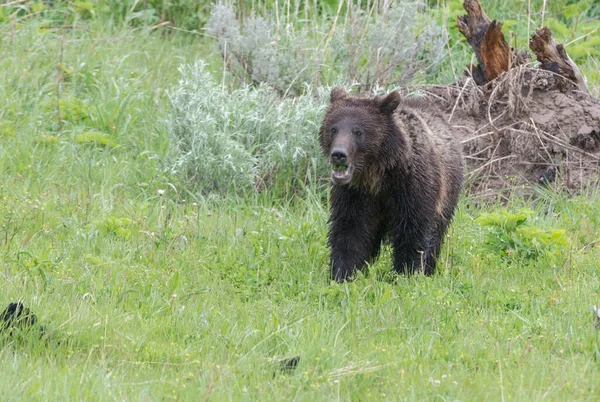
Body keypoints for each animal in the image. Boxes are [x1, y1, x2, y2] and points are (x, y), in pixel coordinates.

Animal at [318, 88, 464, 282]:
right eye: (333, 129)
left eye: (358, 131)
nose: (339, 154)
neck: (377, 177)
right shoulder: (354, 194)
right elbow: (350, 231)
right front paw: (343, 274)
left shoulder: (412, 187)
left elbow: (413, 231)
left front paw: (407, 273)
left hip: (448, 192)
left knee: (437, 234)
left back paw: (429, 269)